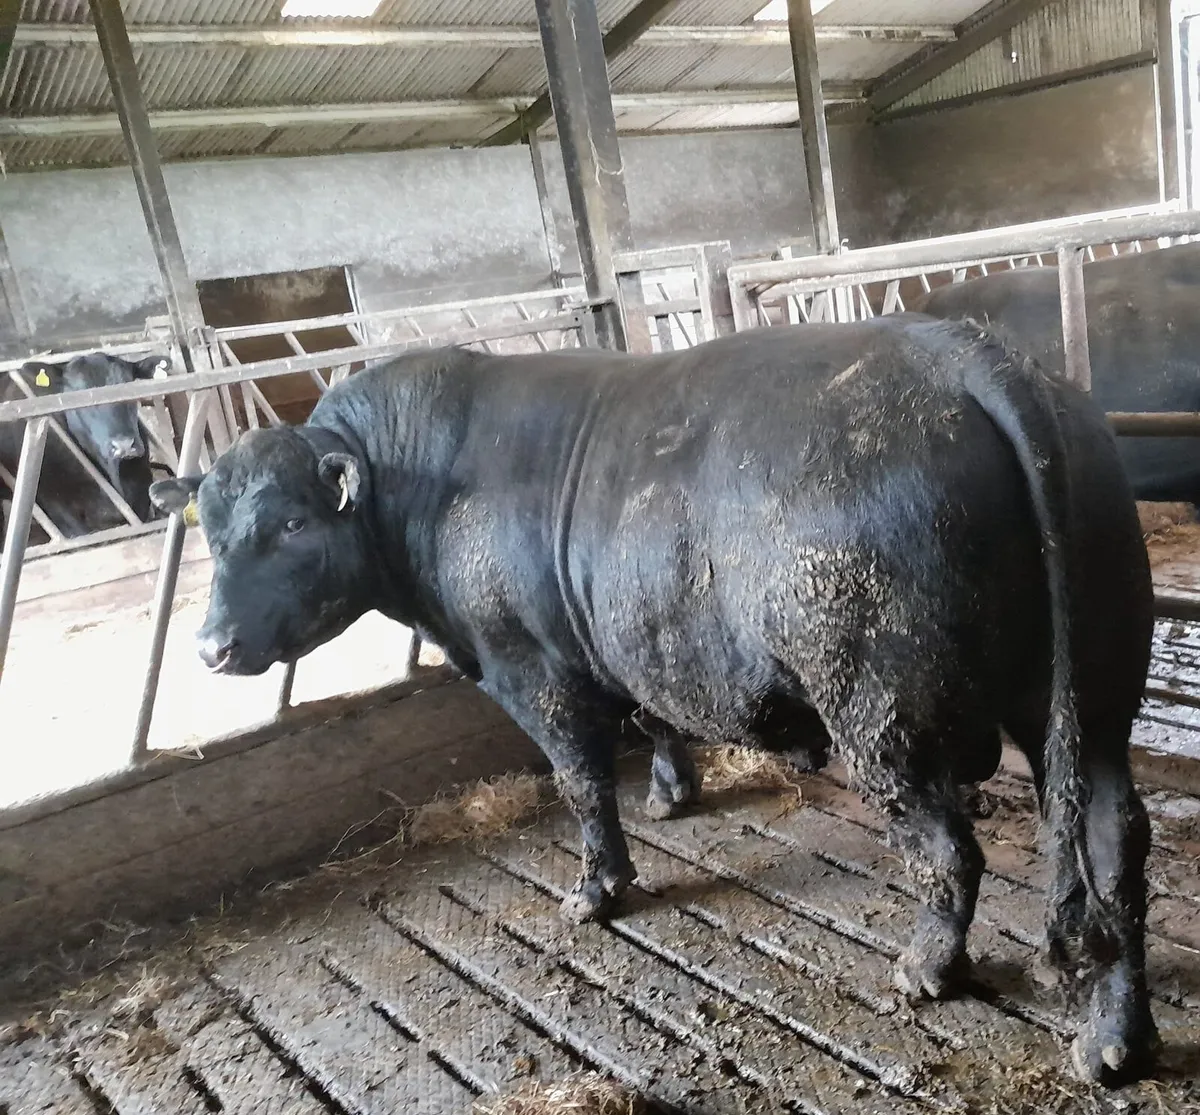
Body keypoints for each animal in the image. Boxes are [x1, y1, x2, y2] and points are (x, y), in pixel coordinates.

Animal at [150, 318, 1156, 1085]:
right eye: (209, 530)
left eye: (289, 523)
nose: (210, 646)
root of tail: (962, 350)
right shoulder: (632, 637)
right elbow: (652, 710)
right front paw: (673, 791)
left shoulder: (532, 668)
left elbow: (580, 780)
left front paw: (597, 887)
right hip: (1092, 696)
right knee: (1113, 842)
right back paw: (1113, 1040)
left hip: (880, 711)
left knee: (949, 848)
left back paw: (925, 968)